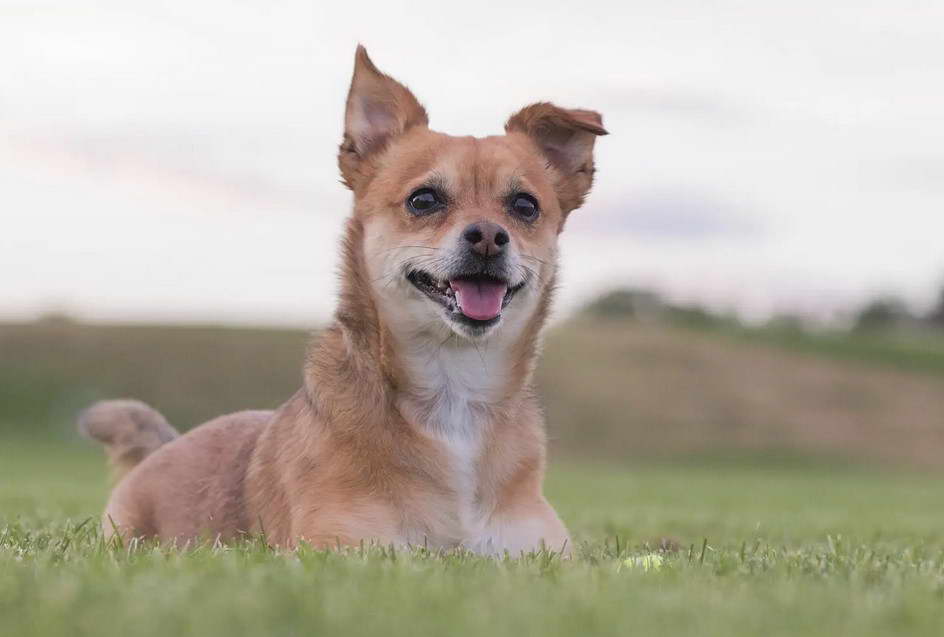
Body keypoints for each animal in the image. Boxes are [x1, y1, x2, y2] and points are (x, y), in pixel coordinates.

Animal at [83, 46, 612, 552]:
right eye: (424, 200)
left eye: (525, 206)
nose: (487, 236)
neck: (453, 389)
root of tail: (160, 450)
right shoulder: (343, 550)